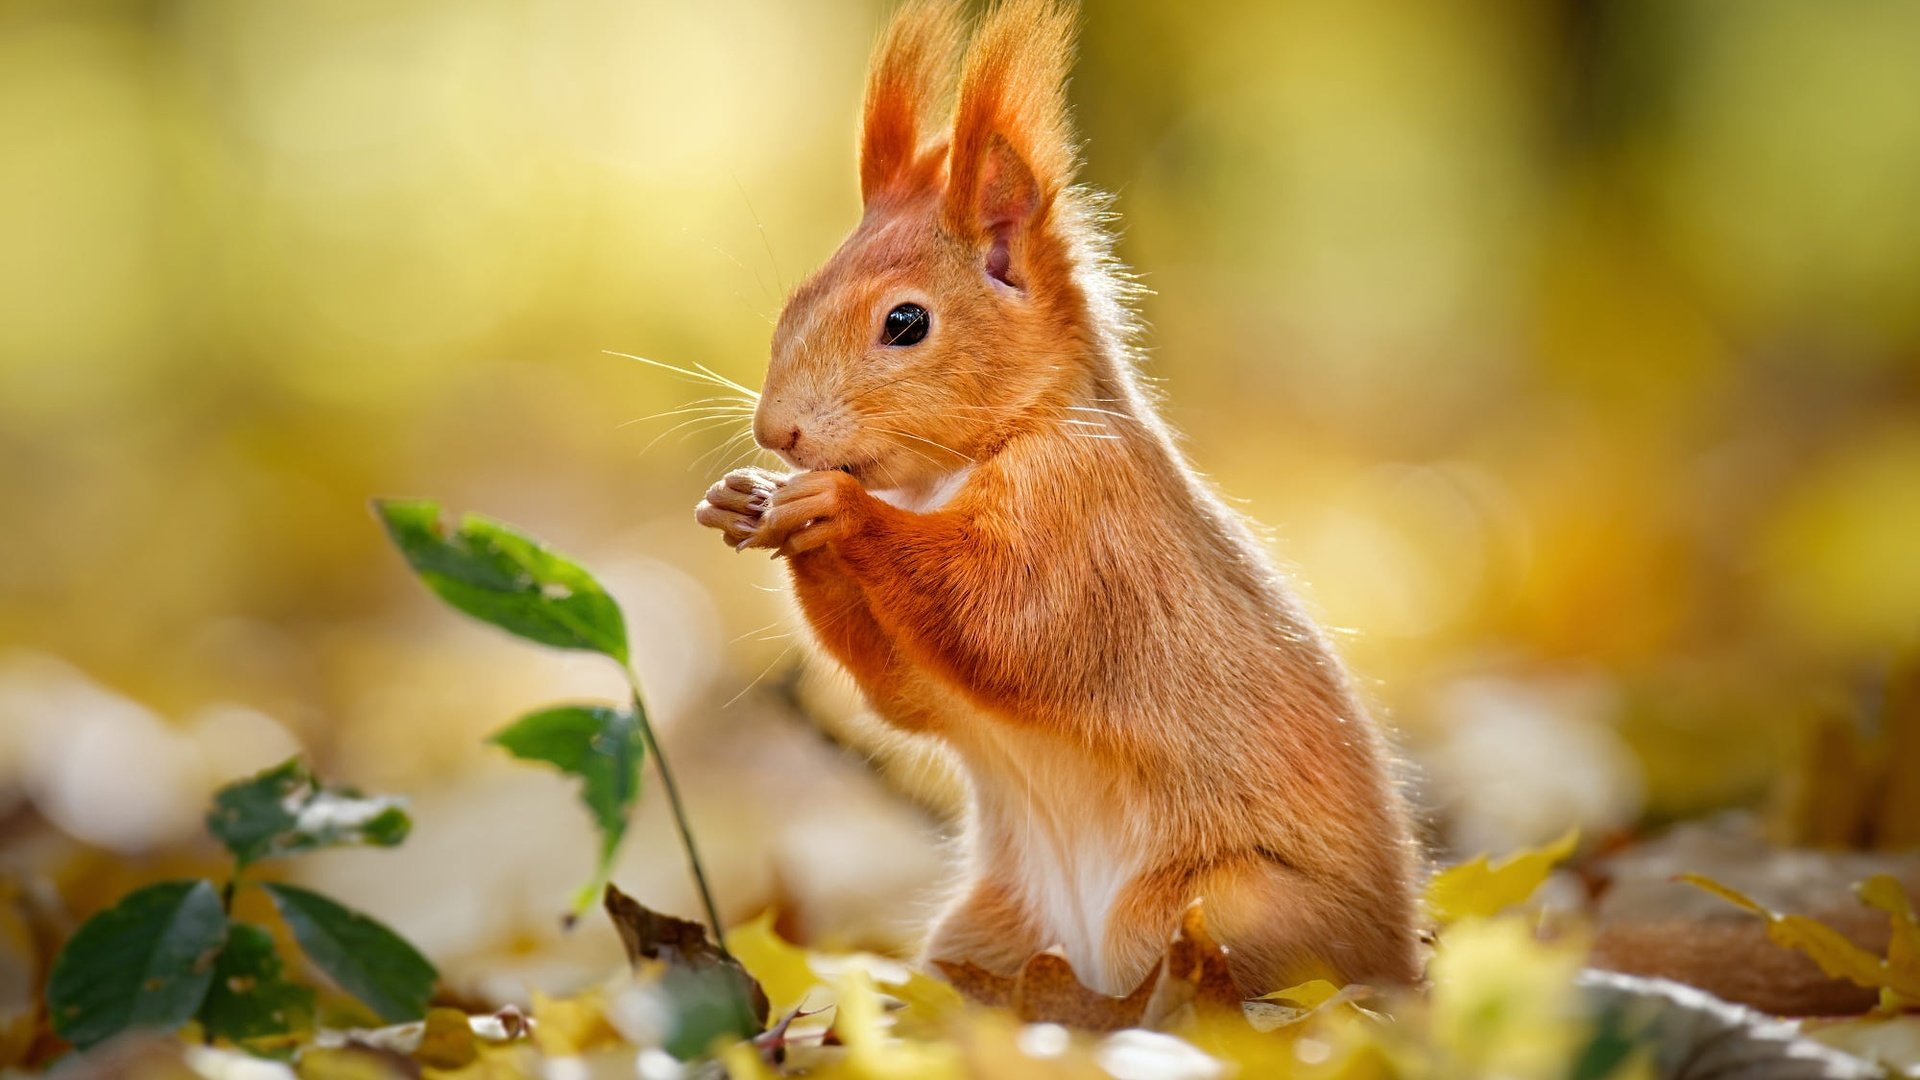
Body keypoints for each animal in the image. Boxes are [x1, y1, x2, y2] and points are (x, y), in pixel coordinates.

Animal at [691, 0, 1413, 991]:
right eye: (796, 298)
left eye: (905, 322)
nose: (777, 432)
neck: (953, 472)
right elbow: (907, 692)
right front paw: (743, 500)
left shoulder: (1085, 521)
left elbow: (1004, 620)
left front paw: (839, 513)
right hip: (985, 931)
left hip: (1216, 913)